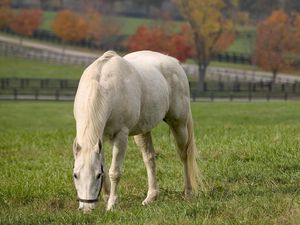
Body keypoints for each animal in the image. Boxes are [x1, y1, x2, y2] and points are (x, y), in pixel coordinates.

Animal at [72, 50, 199, 212]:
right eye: (75, 175)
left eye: (97, 175)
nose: (86, 208)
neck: (103, 86)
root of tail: (174, 62)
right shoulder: (100, 138)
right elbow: (105, 166)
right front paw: (106, 197)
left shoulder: (121, 136)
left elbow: (114, 172)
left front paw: (112, 204)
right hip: (143, 131)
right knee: (149, 159)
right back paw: (151, 197)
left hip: (179, 124)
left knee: (184, 155)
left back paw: (188, 192)